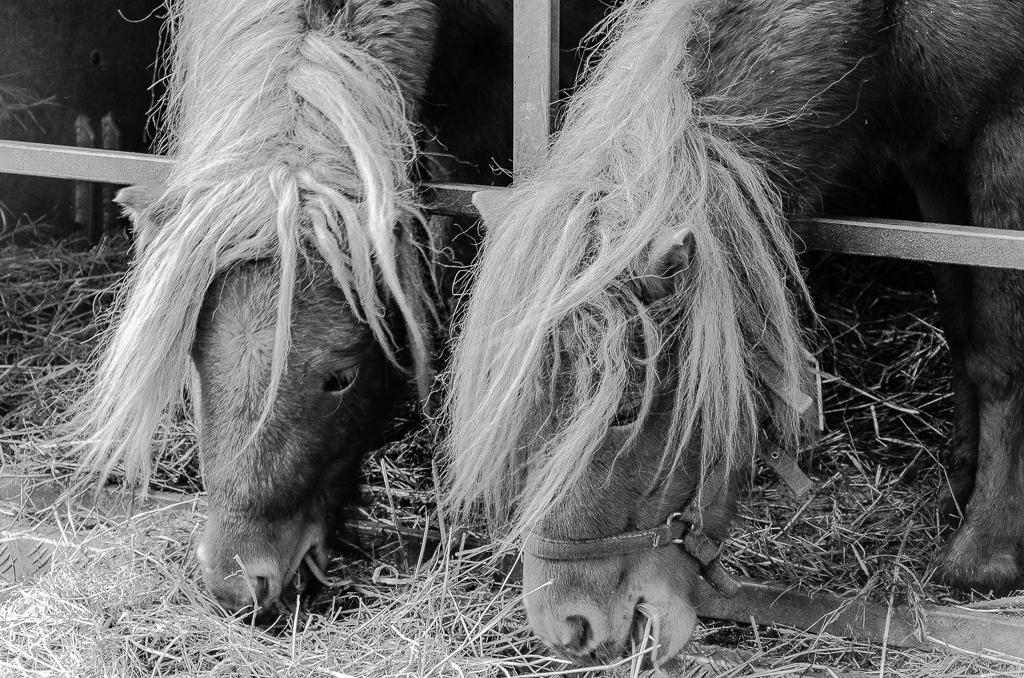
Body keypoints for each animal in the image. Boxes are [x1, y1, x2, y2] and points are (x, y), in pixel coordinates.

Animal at [446, 0, 1024, 664]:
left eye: (623, 412)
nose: (567, 625)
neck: (883, 27)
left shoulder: (1005, 134)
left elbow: (998, 352)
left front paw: (984, 553)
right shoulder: (930, 160)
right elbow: (960, 321)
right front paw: (960, 482)